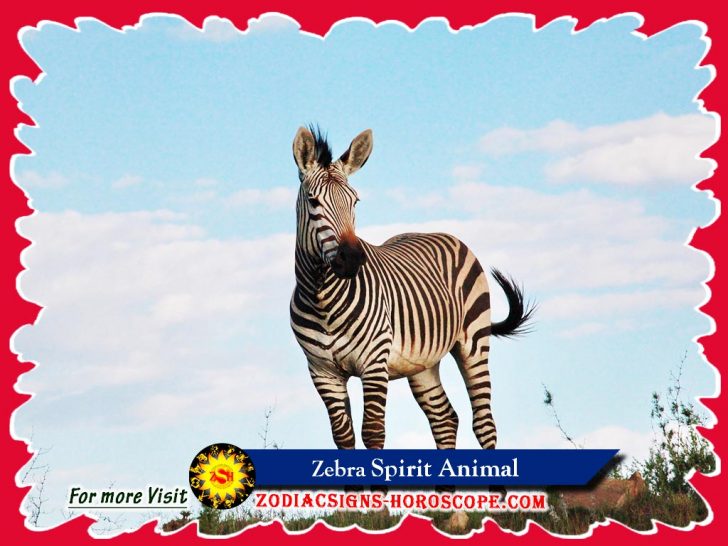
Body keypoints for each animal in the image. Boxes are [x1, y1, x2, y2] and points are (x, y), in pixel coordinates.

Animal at [289, 126, 534, 451]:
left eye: (355, 202)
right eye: (313, 201)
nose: (352, 258)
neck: (322, 298)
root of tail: (437, 233)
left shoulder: (374, 363)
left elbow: (373, 432)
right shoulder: (322, 372)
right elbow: (343, 437)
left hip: (474, 341)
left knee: (484, 424)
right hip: (422, 364)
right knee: (444, 420)